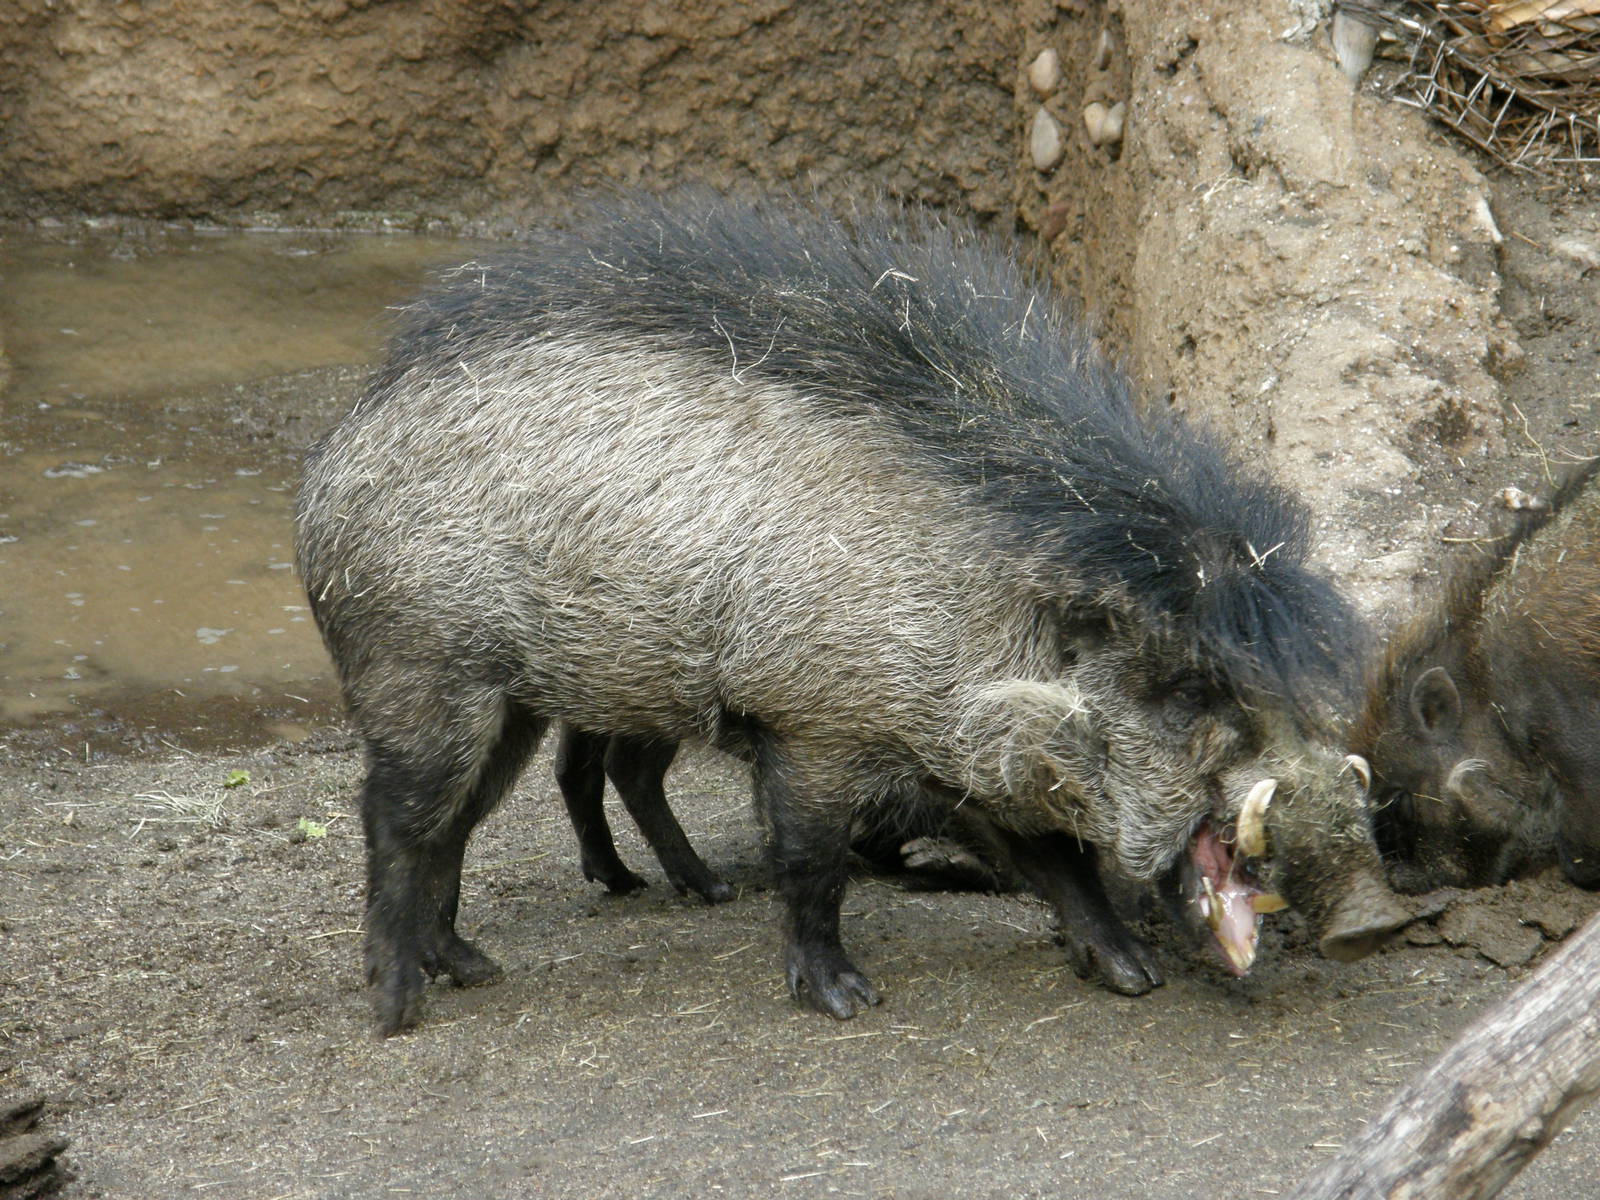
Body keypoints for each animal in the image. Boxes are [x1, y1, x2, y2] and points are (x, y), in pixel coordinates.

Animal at [295, 192, 1407, 1034]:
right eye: (1182, 686)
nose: (1374, 917)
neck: (985, 608)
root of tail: (334, 455)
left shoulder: (955, 758)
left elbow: (1055, 866)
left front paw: (1130, 974)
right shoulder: (814, 729)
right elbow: (812, 866)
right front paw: (845, 1000)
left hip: (511, 705)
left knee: (456, 823)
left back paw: (473, 968)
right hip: (418, 671)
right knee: (392, 818)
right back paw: (398, 1008)